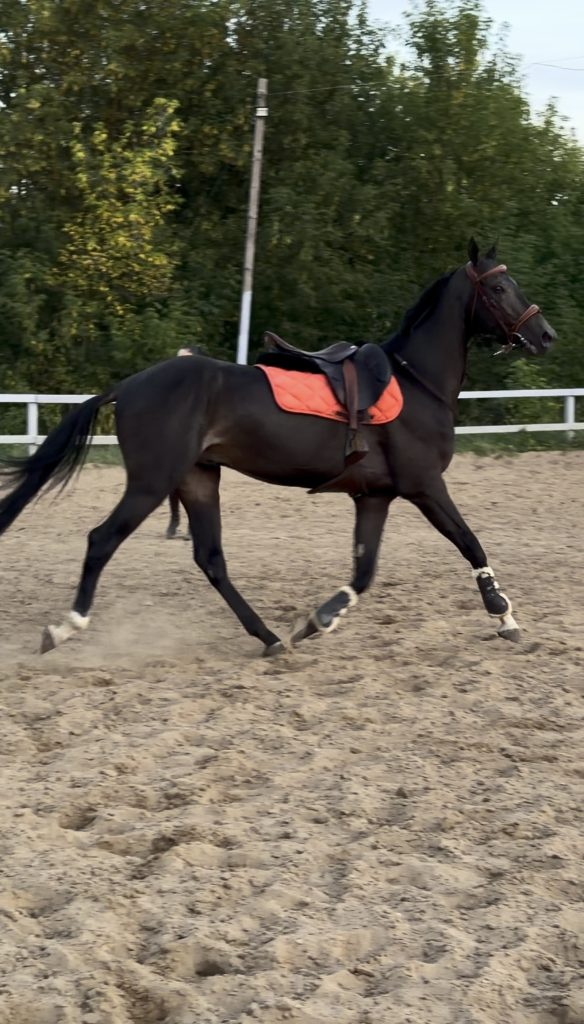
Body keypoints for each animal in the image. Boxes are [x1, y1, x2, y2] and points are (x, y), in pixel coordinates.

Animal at [0, 240, 555, 657]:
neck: (415, 381)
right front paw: (504, 616)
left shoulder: (374, 496)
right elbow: (470, 543)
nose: (545, 334)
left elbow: (364, 573)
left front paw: (317, 620)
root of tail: (129, 385)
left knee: (211, 559)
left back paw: (267, 637)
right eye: (499, 287)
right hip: (153, 482)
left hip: (198, 479)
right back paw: (65, 627)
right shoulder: (424, 486)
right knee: (102, 540)